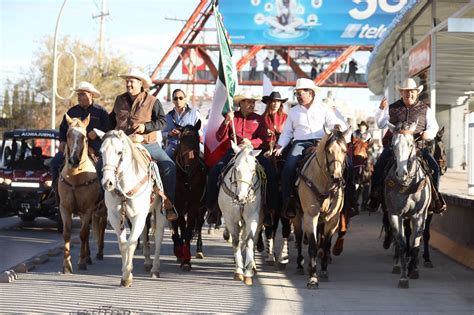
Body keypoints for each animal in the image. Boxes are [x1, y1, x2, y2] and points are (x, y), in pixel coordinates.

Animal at [97, 130, 167, 288]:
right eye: (101, 152)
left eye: (119, 152)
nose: (107, 183)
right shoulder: (116, 217)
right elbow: (123, 244)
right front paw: (124, 272)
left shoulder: (138, 216)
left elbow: (131, 243)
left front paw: (127, 276)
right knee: (145, 233)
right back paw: (147, 262)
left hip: (160, 211)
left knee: (158, 235)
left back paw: (155, 268)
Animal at [218, 142, 262, 288]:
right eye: (236, 169)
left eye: (253, 171)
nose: (241, 197)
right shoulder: (230, 218)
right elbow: (236, 241)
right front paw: (238, 271)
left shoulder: (253, 217)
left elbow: (249, 240)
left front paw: (248, 272)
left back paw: (252, 265)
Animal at [292, 127, 348, 290]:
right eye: (328, 150)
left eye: (344, 150)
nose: (337, 178)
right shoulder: (311, 216)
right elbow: (312, 245)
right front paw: (313, 278)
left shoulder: (333, 219)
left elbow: (326, 243)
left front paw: (323, 270)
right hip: (297, 214)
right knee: (299, 236)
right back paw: (300, 265)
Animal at [384, 122, 432, 290]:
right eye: (393, 145)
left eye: (411, 144)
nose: (401, 173)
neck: (407, 186)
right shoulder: (394, 214)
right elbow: (402, 243)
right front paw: (404, 277)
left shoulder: (419, 215)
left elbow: (415, 243)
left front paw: (413, 270)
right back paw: (397, 264)